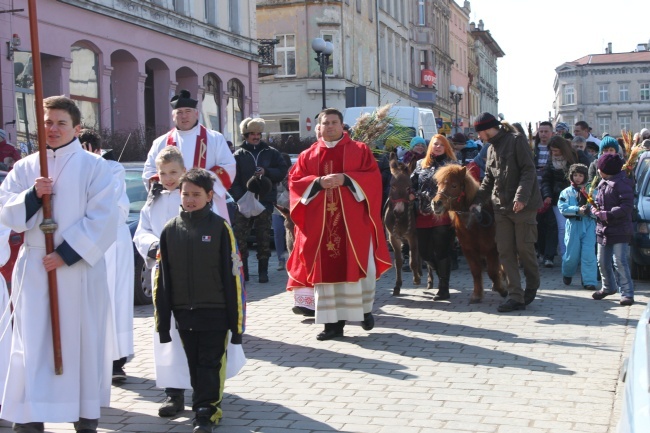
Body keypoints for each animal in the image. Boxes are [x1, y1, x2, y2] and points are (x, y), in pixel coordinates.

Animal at [380, 151, 426, 294]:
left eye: (408, 188)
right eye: (393, 186)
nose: (398, 211)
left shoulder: (413, 236)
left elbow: (413, 260)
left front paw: (416, 279)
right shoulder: (393, 238)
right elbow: (398, 261)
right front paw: (397, 286)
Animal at [430, 164, 506, 302]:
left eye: (454, 185)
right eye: (438, 184)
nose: (436, 203)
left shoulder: (491, 250)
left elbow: (492, 272)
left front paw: (502, 290)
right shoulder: (469, 250)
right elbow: (476, 272)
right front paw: (477, 295)